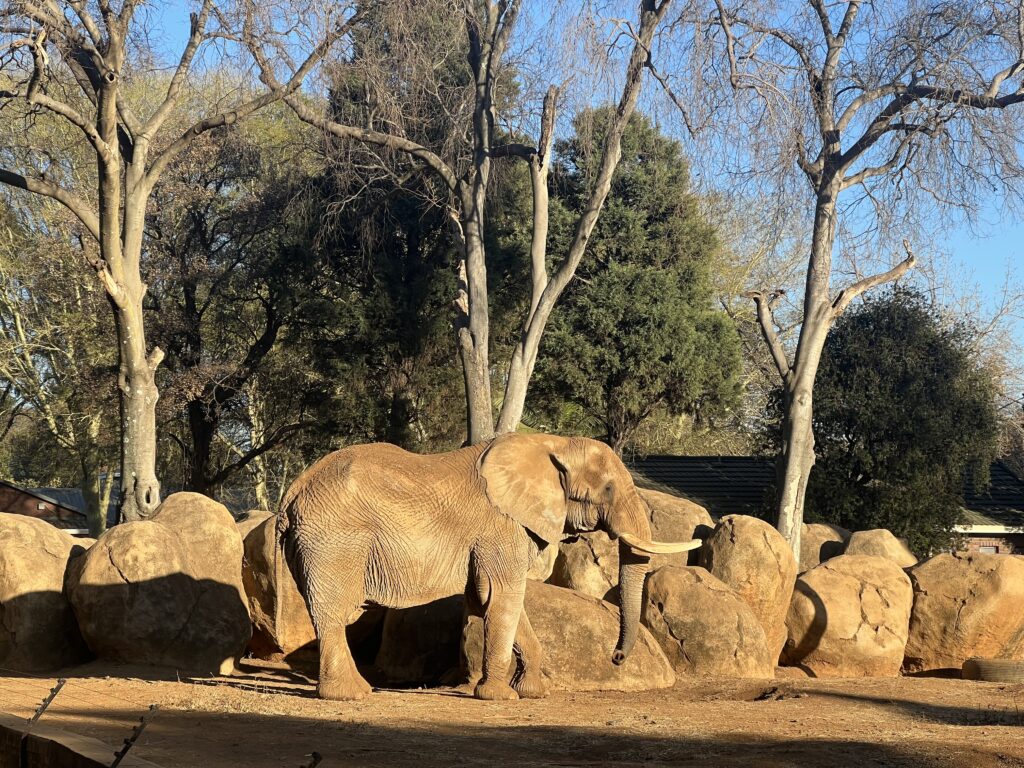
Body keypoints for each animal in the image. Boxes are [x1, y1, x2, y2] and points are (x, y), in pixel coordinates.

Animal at [276, 436, 700, 700]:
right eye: (608, 489)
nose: (615, 658)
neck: (551, 443)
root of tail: (291, 494)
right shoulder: (501, 528)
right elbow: (503, 599)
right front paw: (499, 697)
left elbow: (499, 602)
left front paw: (533, 693)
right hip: (335, 540)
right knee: (333, 611)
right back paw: (352, 695)